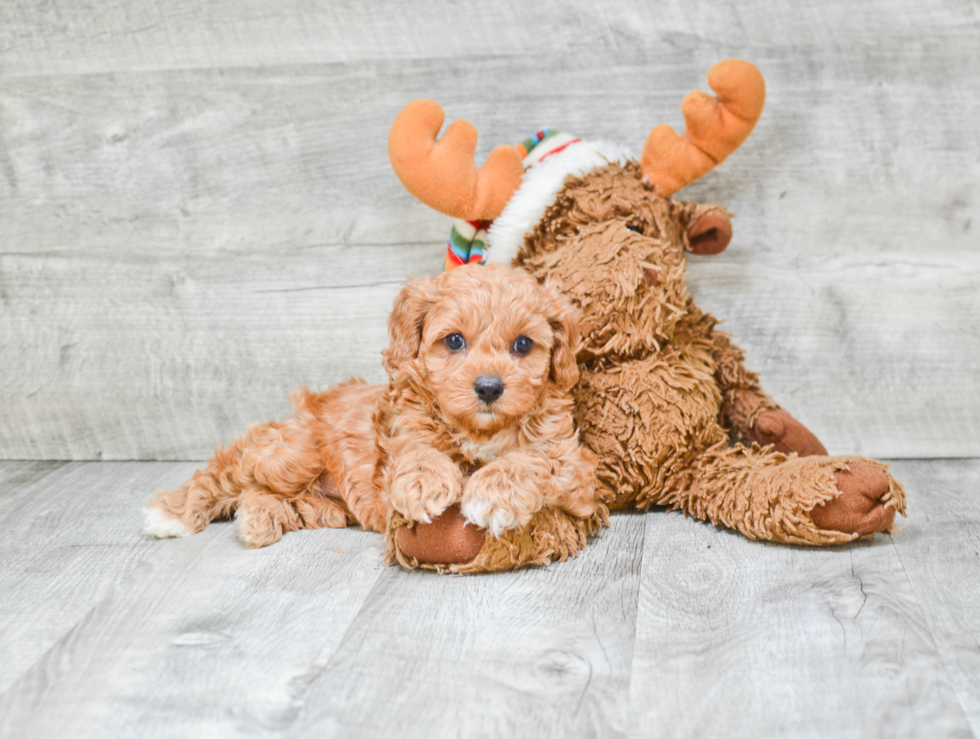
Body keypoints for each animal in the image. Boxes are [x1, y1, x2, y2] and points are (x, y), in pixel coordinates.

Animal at [145, 266, 596, 548]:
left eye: (523, 344)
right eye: (454, 341)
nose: (488, 388)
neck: (479, 429)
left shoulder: (578, 470)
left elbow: (537, 459)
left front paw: (493, 492)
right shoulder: (399, 435)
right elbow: (416, 450)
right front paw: (424, 482)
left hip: (322, 504)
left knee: (266, 495)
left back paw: (258, 518)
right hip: (292, 455)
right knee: (227, 472)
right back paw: (174, 512)